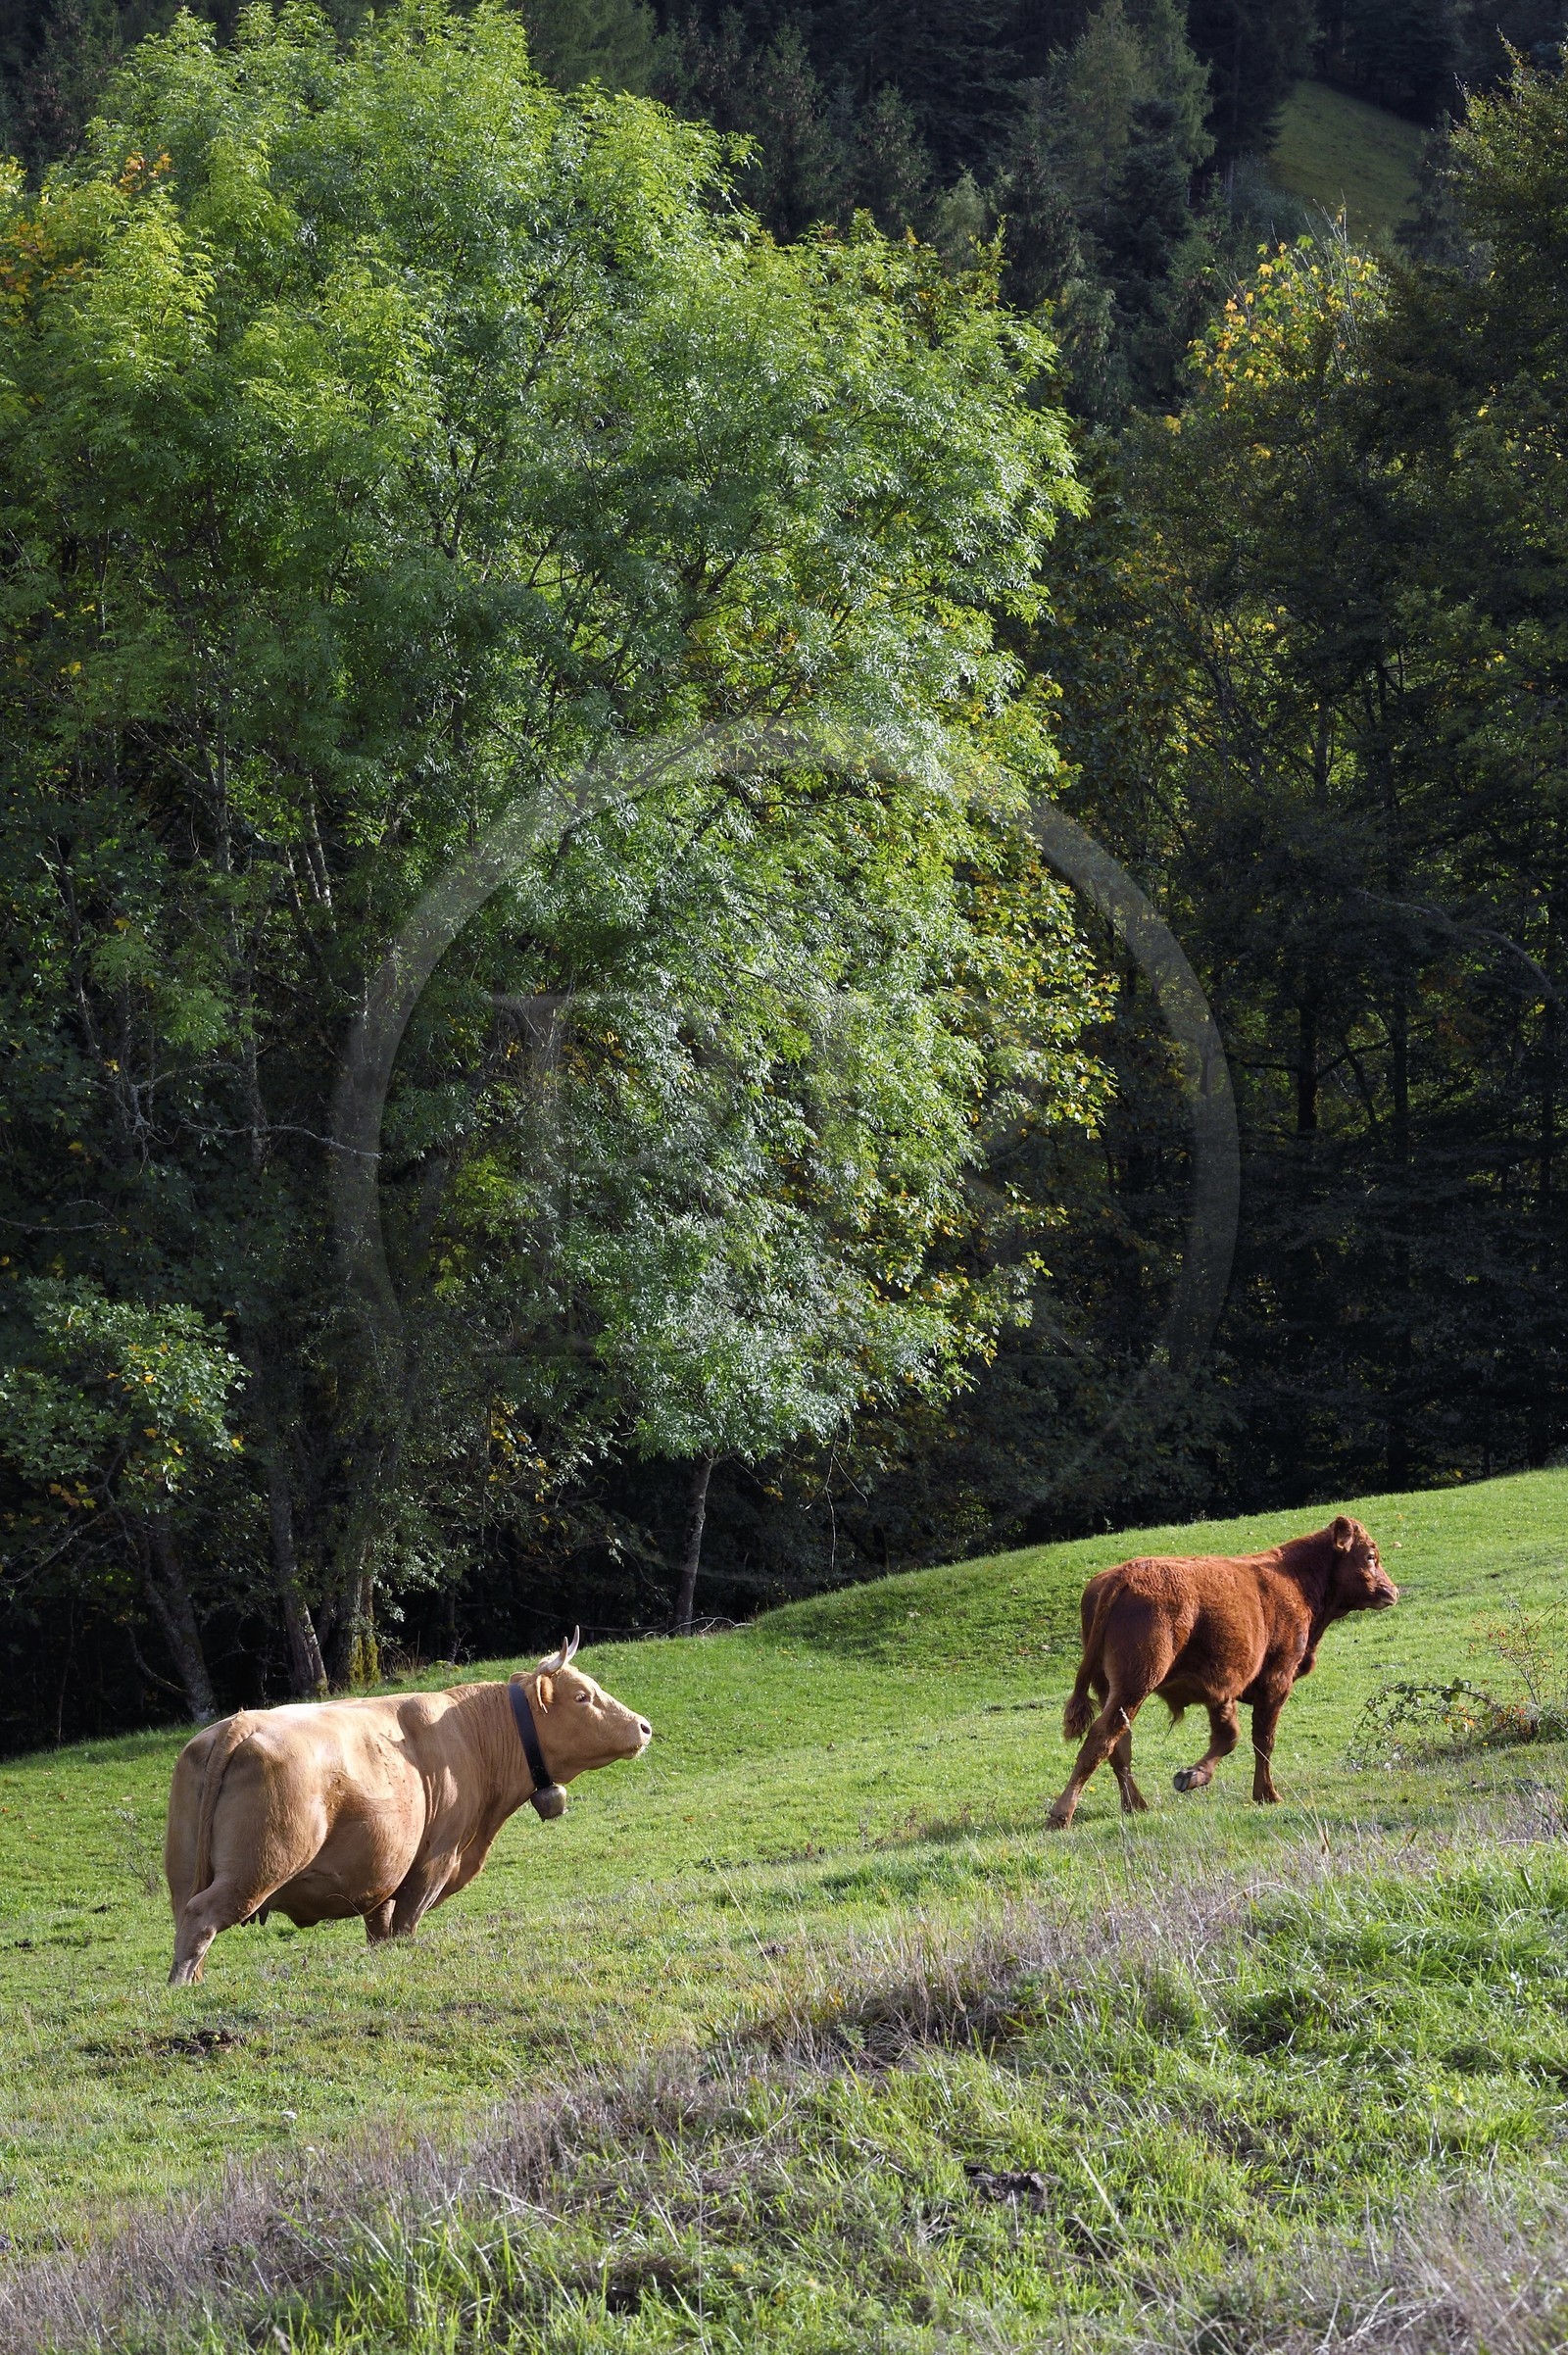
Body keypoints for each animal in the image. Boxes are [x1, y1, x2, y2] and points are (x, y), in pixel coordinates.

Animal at [164, 1632, 650, 1983]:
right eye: (582, 1696)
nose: (643, 1727)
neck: (471, 1732)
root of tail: (241, 1721)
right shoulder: (434, 1860)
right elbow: (405, 1926)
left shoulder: (384, 1873)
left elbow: (380, 1930)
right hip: (259, 1867)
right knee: (202, 1917)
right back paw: (181, 1989)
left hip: (186, 1874)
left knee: (186, 1919)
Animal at [1045, 1516, 1396, 1829]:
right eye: (1370, 1556)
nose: (1391, 1590)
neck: (1294, 1579)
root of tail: (1124, 1573)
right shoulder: (1276, 1681)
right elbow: (1262, 1739)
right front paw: (1267, 1794)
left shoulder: (1221, 1691)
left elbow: (1228, 1737)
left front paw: (1191, 1776)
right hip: (1135, 1684)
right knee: (1102, 1739)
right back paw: (1061, 1816)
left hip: (1112, 1690)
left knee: (1120, 1745)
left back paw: (1136, 1805)